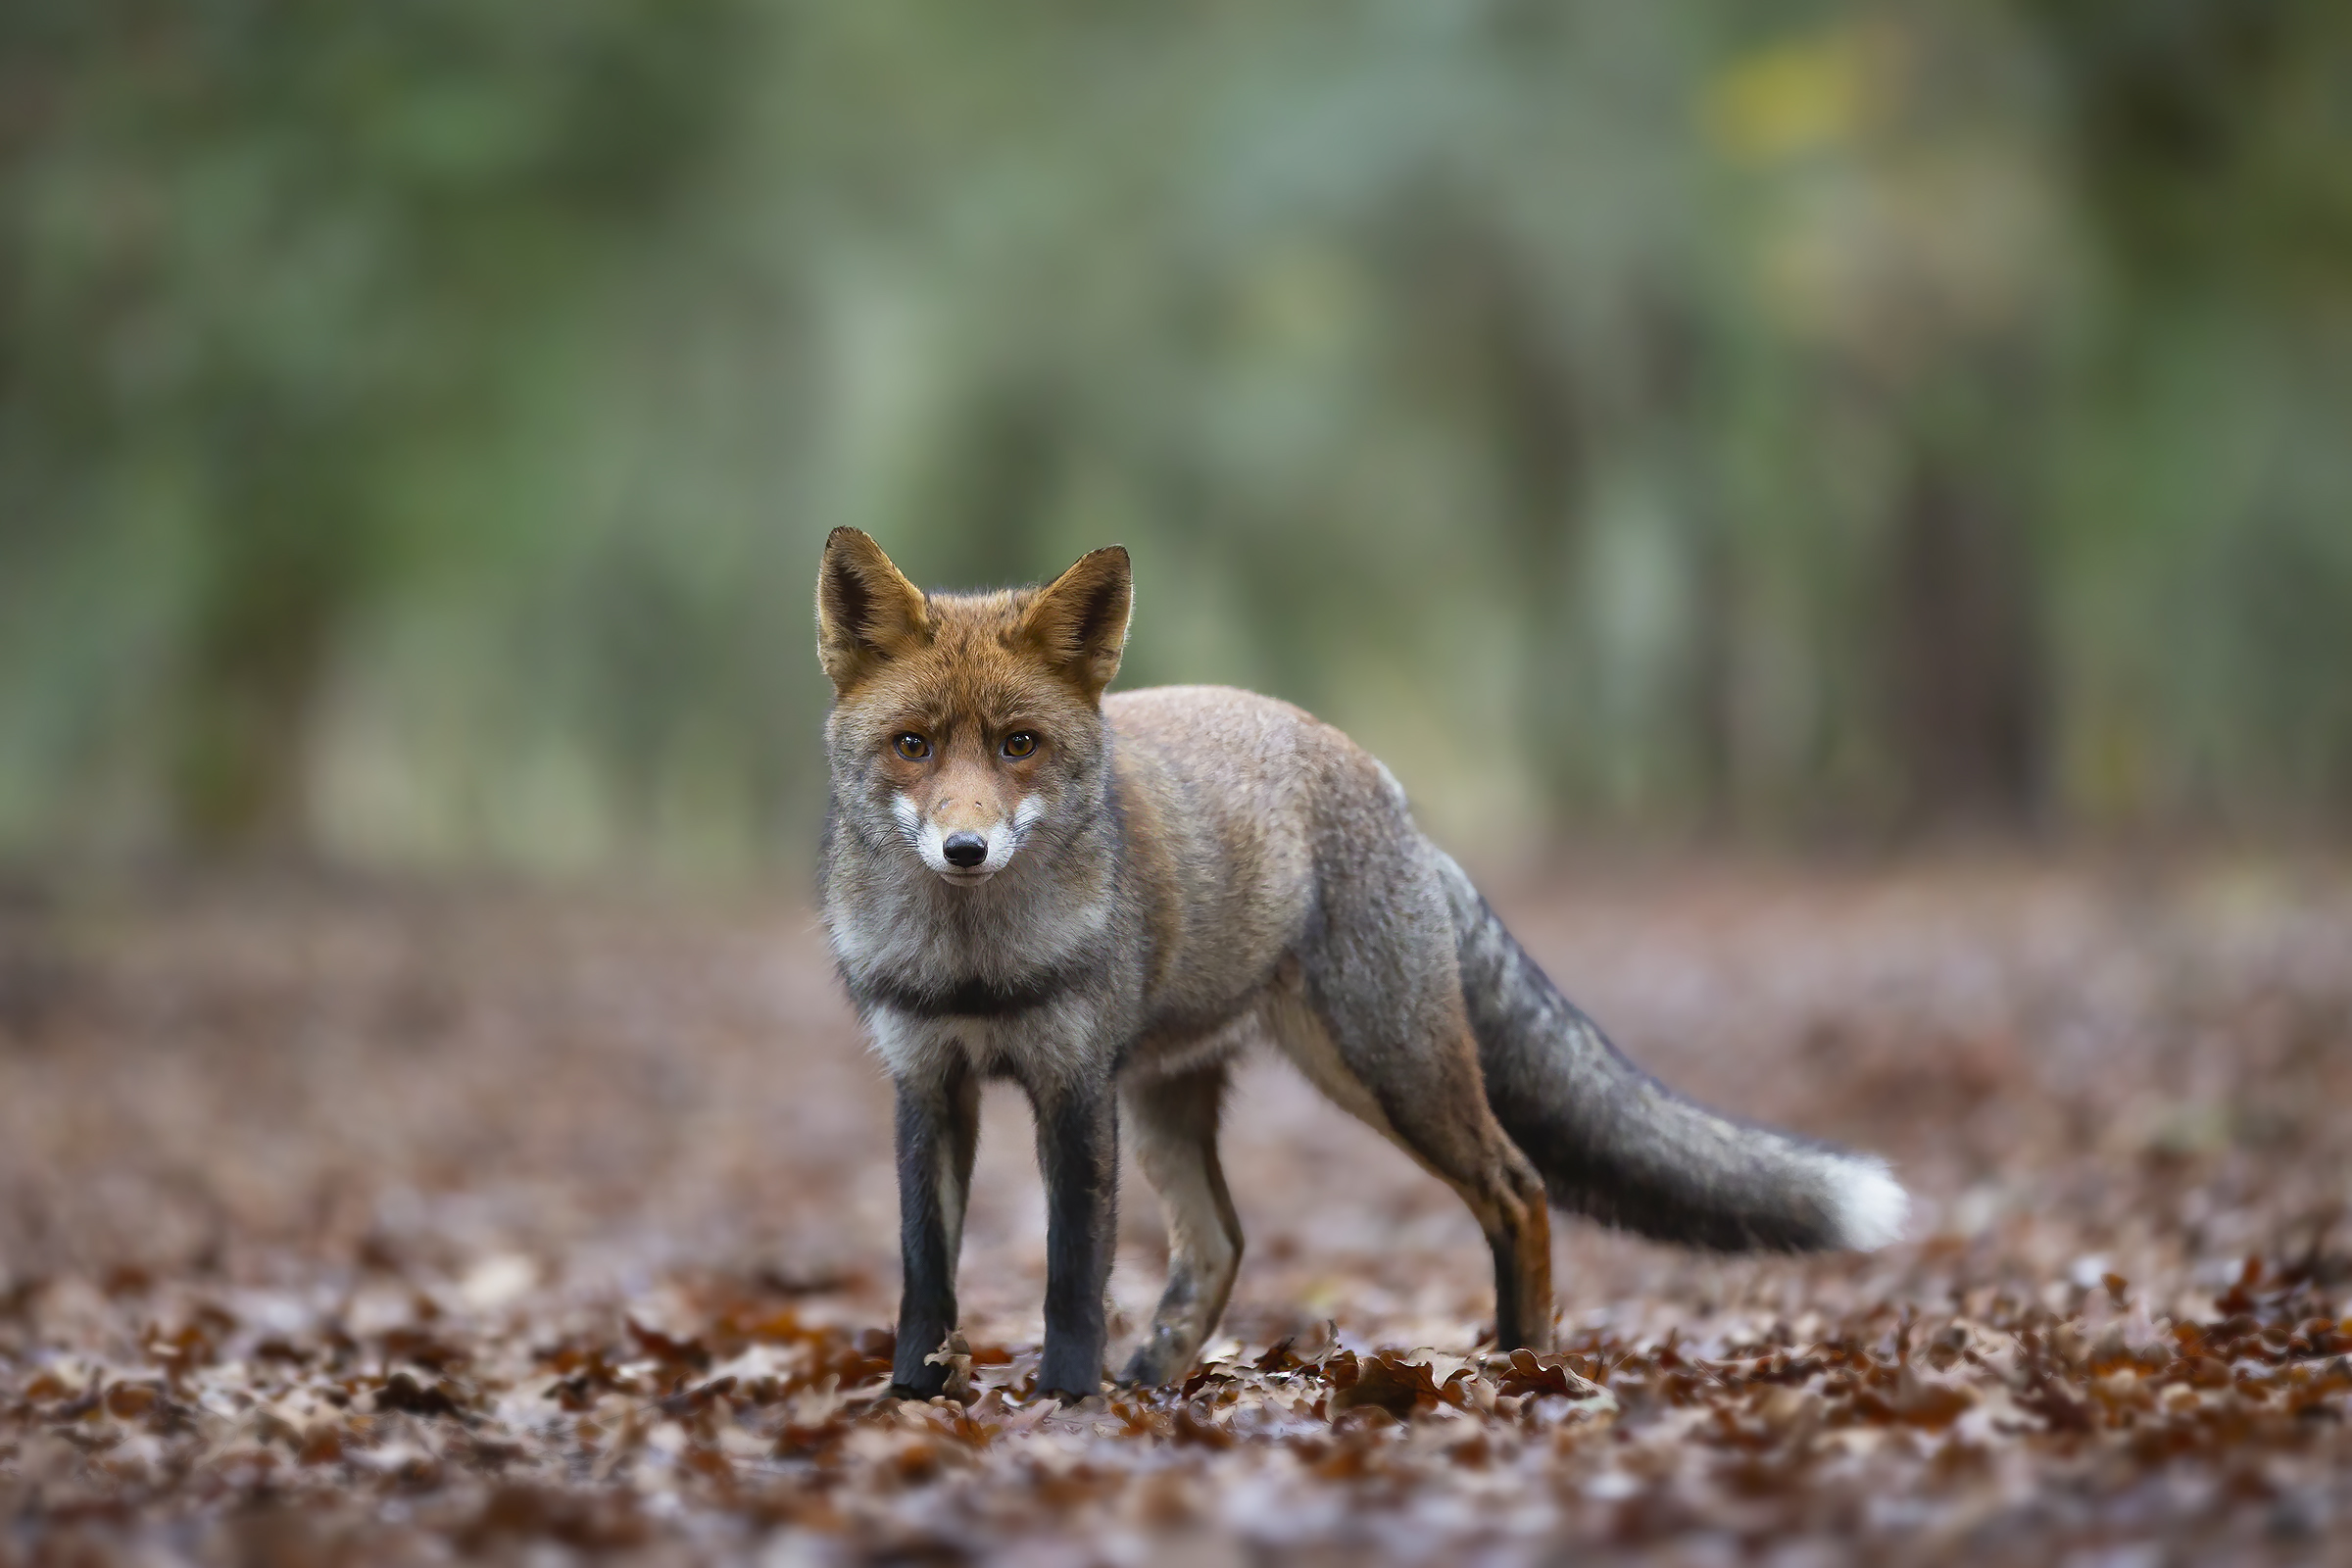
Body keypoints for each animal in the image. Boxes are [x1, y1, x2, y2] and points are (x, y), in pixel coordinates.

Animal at [816, 529, 1907, 1401]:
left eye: (1019, 745)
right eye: (912, 745)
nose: (965, 850)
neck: (977, 966)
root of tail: (1382, 781)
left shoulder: (1073, 1086)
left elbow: (1072, 1275)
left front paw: (1067, 1403)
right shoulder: (929, 1082)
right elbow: (926, 1275)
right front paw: (914, 1399)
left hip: (1388, 1068)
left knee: (1520, 1189)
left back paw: (1523, 1365)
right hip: (1173, 1097)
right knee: (1222, 1243)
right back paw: (1158, 1382)